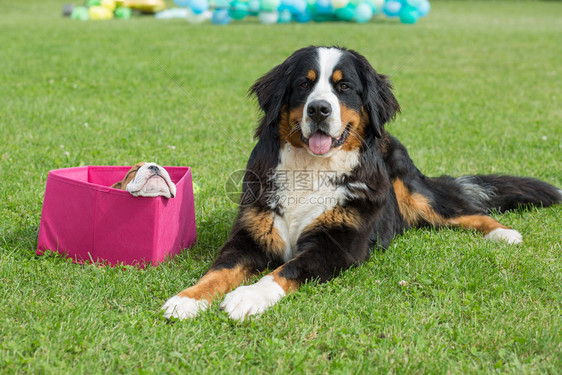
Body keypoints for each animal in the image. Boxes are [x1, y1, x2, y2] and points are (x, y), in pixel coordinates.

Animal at [160, 45, 556, 322]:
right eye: (303, 84)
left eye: (344, 87)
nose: (319, 109)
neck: (312, 169)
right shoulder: (250, 235)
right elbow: (219, 271)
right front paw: (186, 299)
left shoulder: (338, 245)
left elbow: (284, 270)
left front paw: (247, 297)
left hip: (413, 193)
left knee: (462, 209)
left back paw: (503, 233)